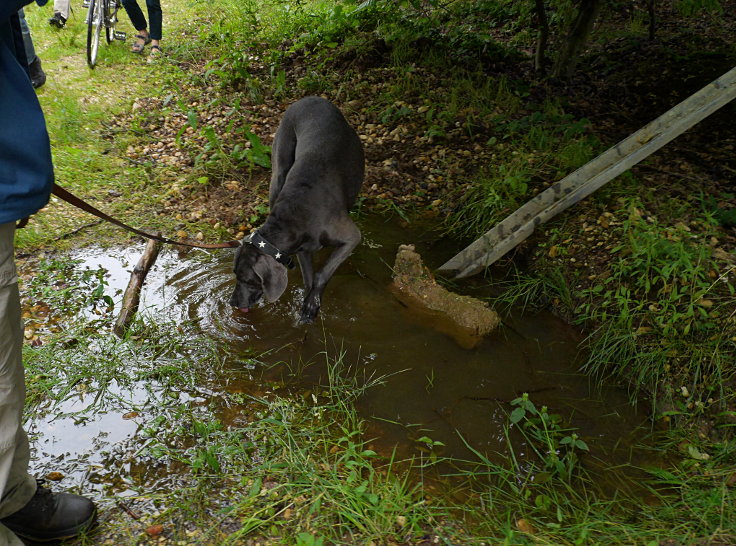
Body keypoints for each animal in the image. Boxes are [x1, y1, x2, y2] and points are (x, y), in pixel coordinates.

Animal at [230, 96, 366, 320]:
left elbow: (321, 273)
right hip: (278, 171)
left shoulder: (352, 237)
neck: (295, 213)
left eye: (249, 280)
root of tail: (310, 98)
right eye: (235, 275)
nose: (232, 303)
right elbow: (308, 278)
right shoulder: (302, 249)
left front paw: (312, 304)